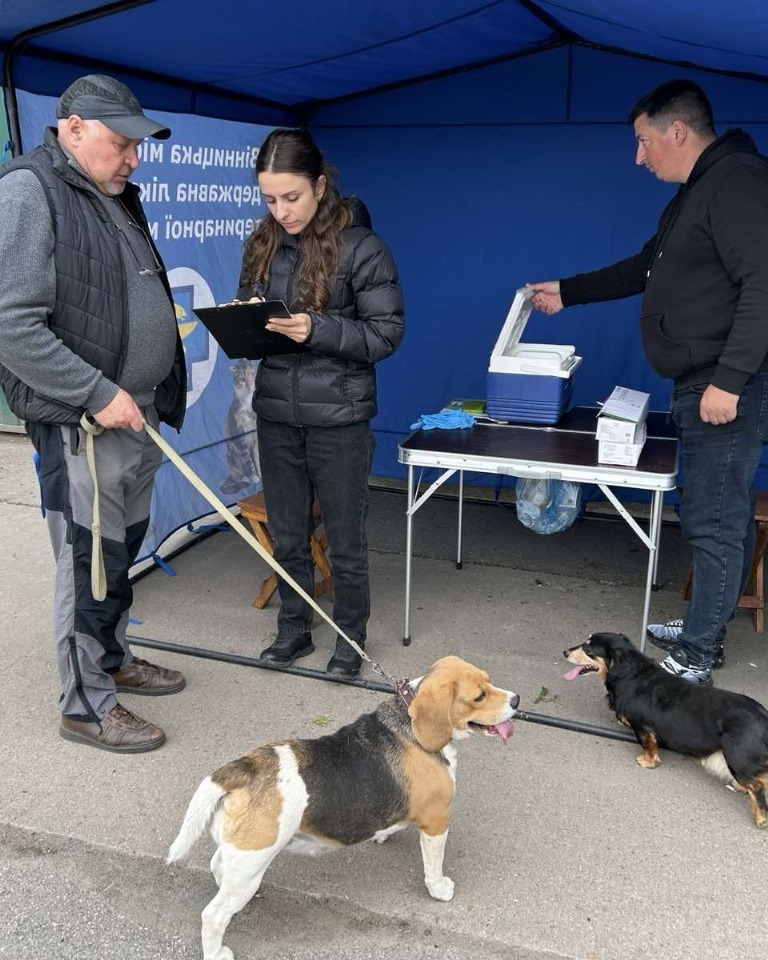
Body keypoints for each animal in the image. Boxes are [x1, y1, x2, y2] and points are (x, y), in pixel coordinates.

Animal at [167, 655, 519, 960]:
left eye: (490, 680)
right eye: (479, 696)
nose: (517, 700)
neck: (410, 722)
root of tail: (246, 766)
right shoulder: (436, 822)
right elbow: (434, 866)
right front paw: (439, 889)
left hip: (241, 857)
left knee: (218, 869)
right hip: (251, 859)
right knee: (212, 915)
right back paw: (217, 952)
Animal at [564, 631, 768, 828]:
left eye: (588, 647)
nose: (565, 652)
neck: (632, 674)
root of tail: (763, 717)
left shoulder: (642, 726)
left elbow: (648, 746)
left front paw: (648, 761)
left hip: (737, 759)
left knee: (757, 787)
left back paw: (760, 817)